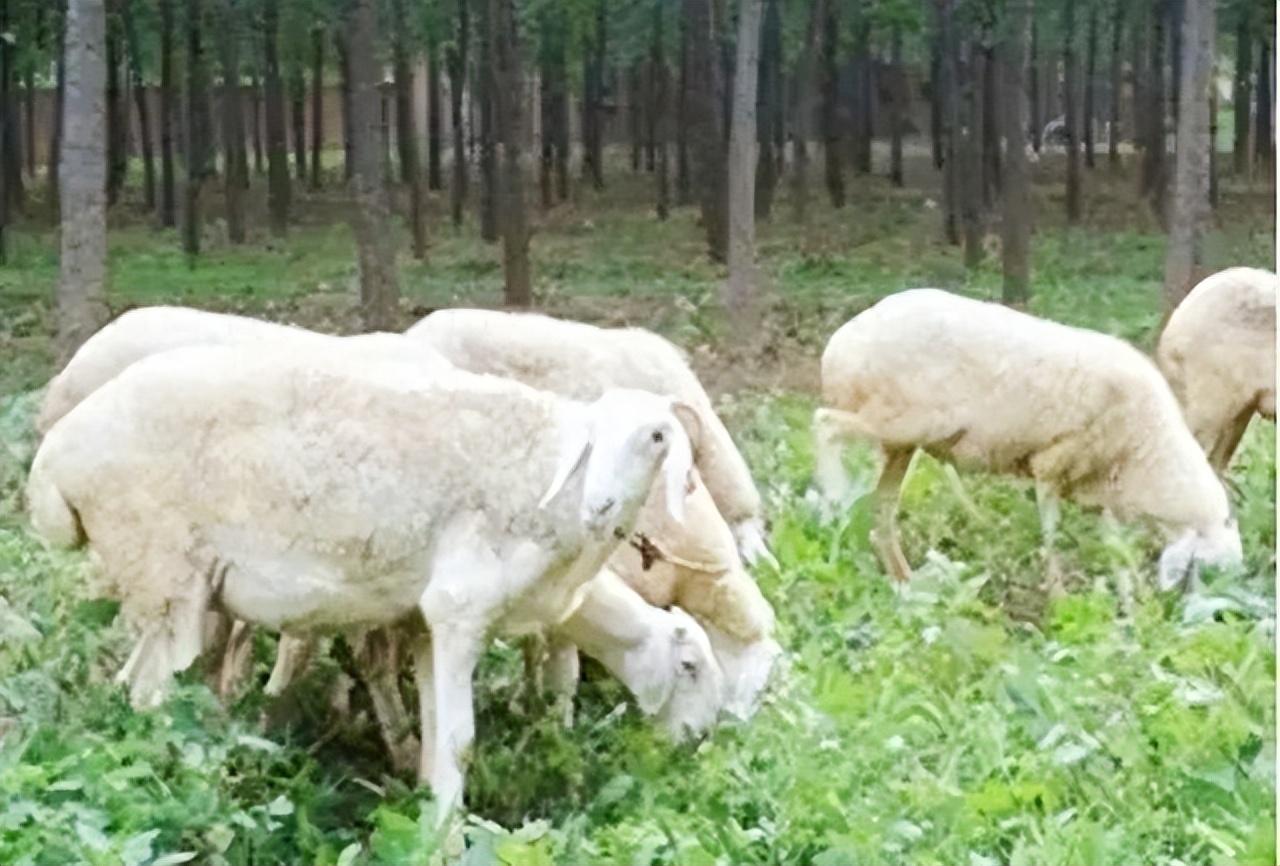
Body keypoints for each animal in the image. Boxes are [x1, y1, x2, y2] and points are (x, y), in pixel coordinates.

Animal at [27, 342, 701, 808]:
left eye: (656, 437)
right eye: (692, 667)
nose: (602, 506)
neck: (553, 485)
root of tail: (52, 461)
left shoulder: (426, 623)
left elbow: (434, 731)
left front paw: (425, 807)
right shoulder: (460, 606)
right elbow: (458, 739)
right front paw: (447, 837)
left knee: (141, 690)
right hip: (162, 571)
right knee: (151, 696)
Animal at [814, 286, 1244, 590]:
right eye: (1209, 572)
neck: (1150, 454)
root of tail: (841, 342)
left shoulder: (1100, 489)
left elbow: (1117, 554)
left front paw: (1130, 612)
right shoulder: (1051, 465)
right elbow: (1052, 539)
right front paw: (1058, 596)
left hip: (901, 443)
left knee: (883, 514)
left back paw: (906, 584)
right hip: (903, 421)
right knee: (823, 424)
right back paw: (832, 501)